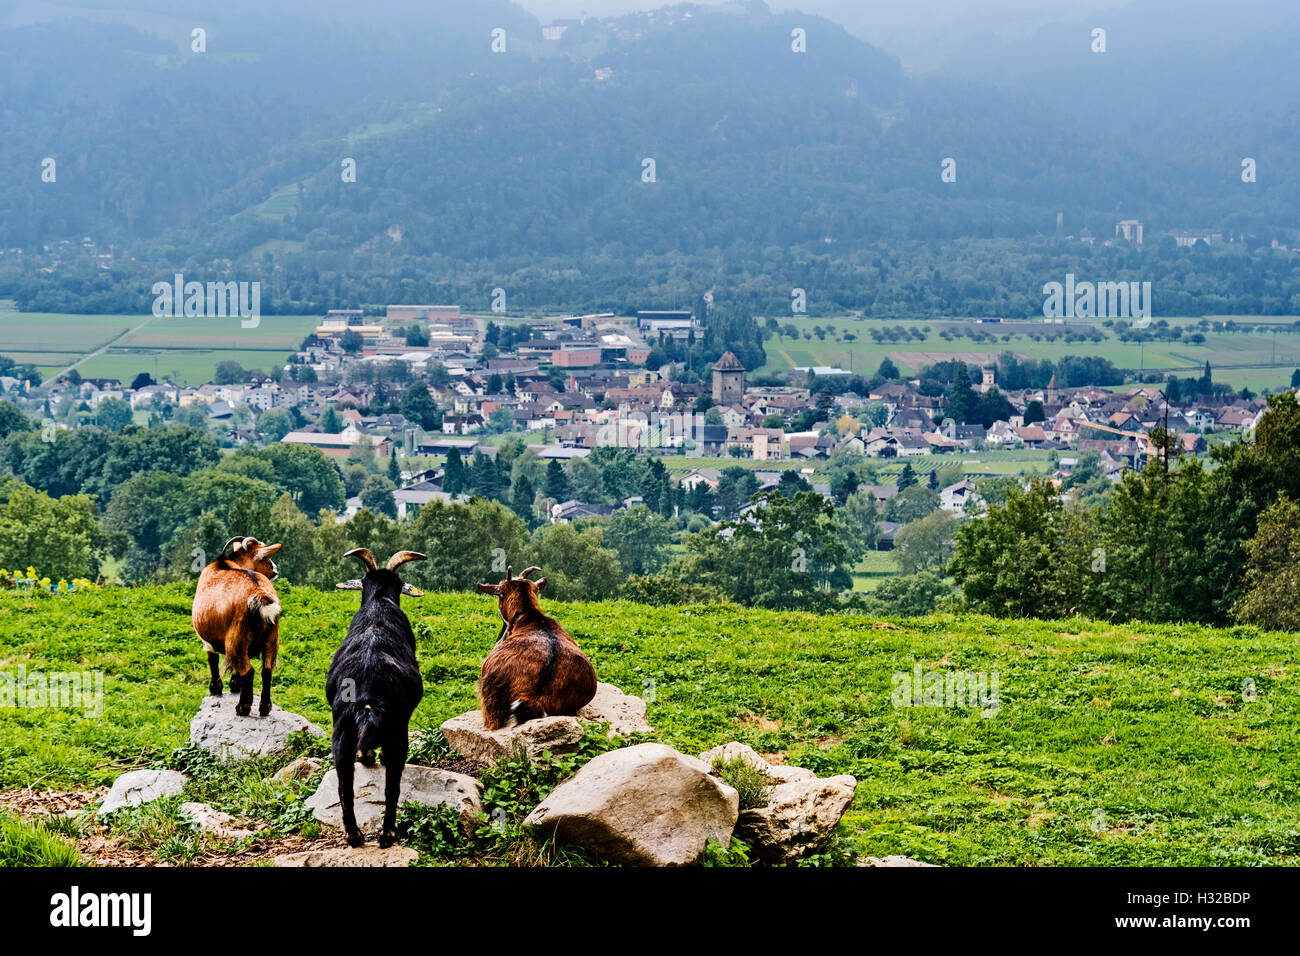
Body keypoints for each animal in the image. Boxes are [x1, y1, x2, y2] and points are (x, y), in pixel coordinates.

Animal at [191, 538, 283, 717]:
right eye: (266, 558)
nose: (275, 569)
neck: (223, 563)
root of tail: (258, 593)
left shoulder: (208, 641)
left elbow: (213, 659)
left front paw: (216, 689)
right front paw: (234, 685)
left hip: (236, 638)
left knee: (248, 671)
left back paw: (243, 707)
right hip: (271, 638)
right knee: (266, 669)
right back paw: (264, 707)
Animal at [325, 548, 426, 848]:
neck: (379, 602)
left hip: (341, 734)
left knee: (344, 785)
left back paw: (354, 835)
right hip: (397, 733)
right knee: (392, 785)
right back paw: (387, 834)